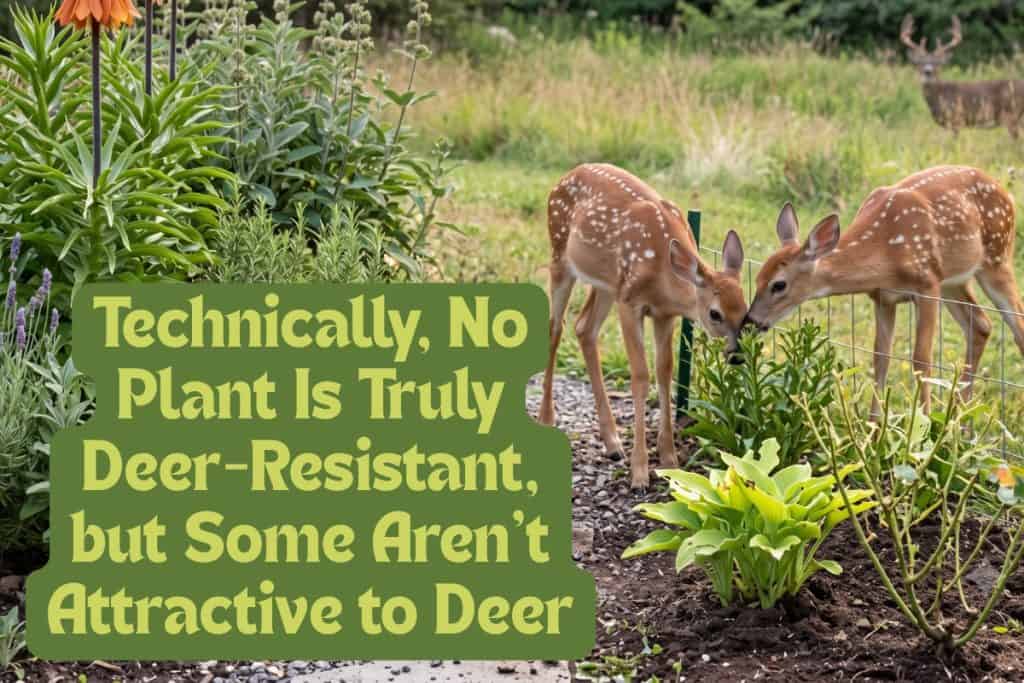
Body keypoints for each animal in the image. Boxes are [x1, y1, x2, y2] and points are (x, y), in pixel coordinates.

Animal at [537, 163, 748, 489]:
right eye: (715, 314)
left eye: (746, 310)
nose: (737, 355)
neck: (662, 273)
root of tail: (566, 175)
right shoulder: (630, 303)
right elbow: (640, 375)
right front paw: (639, 472)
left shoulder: (665, 315)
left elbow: (664, 371)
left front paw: (670, 458)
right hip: (560, 254)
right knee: (555, 327)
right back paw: (547, 419)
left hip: (607, 283)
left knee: (584, 327)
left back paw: (612, 442)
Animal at [745, 165, 1024, 415]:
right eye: (757, 278)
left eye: (779, 284)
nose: (750, 321)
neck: (886, 252)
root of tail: (1005, 192)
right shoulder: (883, 297)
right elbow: (880, 358)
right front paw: (874, 430)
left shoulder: (927, 285)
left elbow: (921, 359)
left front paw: (924, 429)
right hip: (954, 281)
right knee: (981, 325)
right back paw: (959, 421)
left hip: (997, 258)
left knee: (1016, 327)